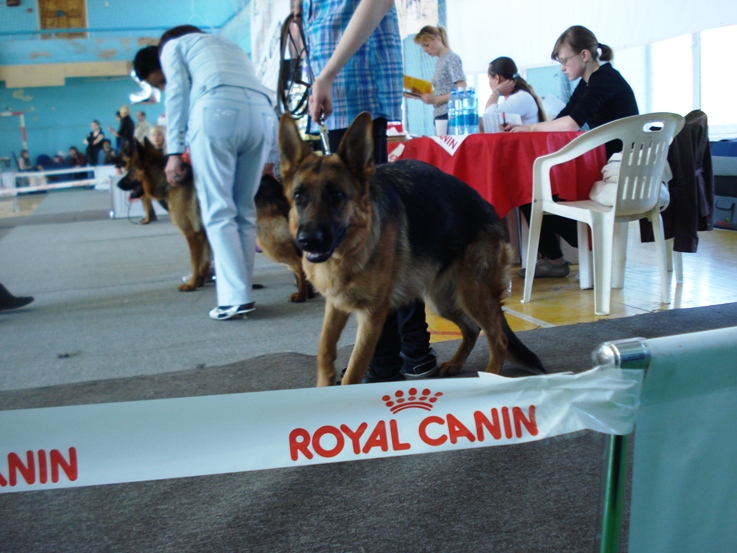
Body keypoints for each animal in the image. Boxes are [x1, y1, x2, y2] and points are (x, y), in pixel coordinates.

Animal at [118, 139, 313, 301]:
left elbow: (195, 261)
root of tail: (275, 188)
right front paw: (201, 281)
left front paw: (191, 284)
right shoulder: (205, 235)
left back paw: (301, 294)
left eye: (130, 170)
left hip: (268, 241)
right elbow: (204, 262)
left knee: (298, 264)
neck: (165, 179)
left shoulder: (193, 234)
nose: (118, 184)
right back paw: (308, 291)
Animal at [279, 111, 544, 386]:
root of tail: (487, 205)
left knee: (498, 338)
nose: (307, 241)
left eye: (337, 195)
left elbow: (354, 369)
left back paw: (490, 375)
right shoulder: (335, 304)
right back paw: (455, 364)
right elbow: (324, 350)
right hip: (441, 300)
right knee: (473, 329)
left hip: (472, 294)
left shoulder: (372, 315)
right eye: (299, 196)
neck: (350, 250)